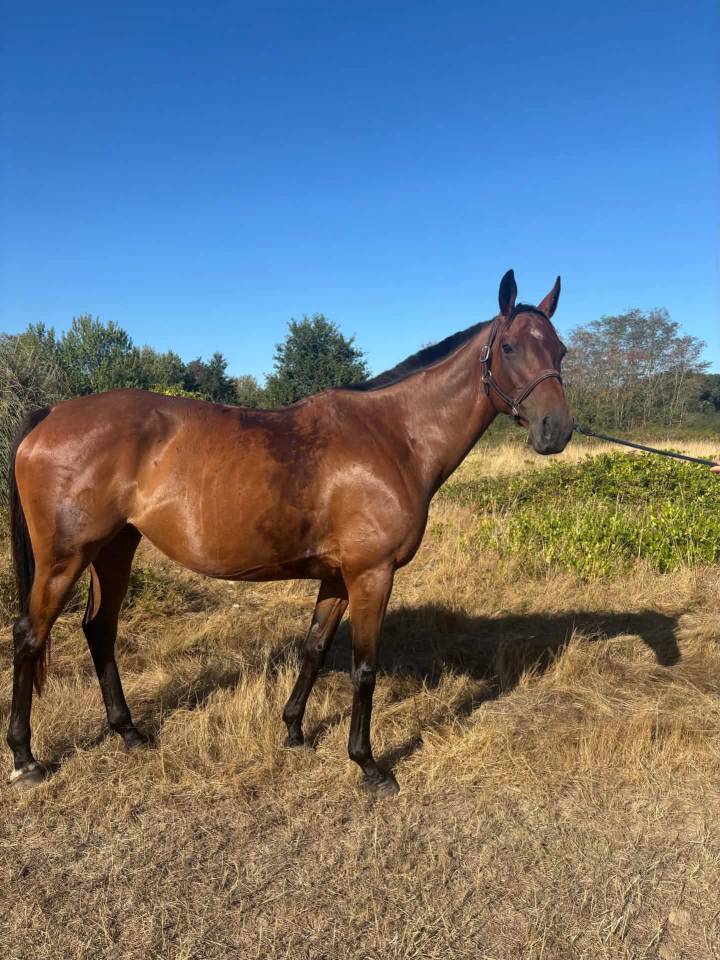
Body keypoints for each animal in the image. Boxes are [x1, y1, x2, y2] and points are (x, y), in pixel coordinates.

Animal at [7, 269, 573, 793]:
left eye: (560, 350)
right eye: (509, 346)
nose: (557, 429)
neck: (394, 437)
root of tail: (51, 414)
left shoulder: (338, 577)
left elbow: (315, 648)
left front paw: (294, 731)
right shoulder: (372, 574)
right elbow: (364, 668)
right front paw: (369, 765)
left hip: (114, 548)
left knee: (99, 629)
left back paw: (128, 732)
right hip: (65, 559)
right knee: (30, 635)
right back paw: (25, 758)